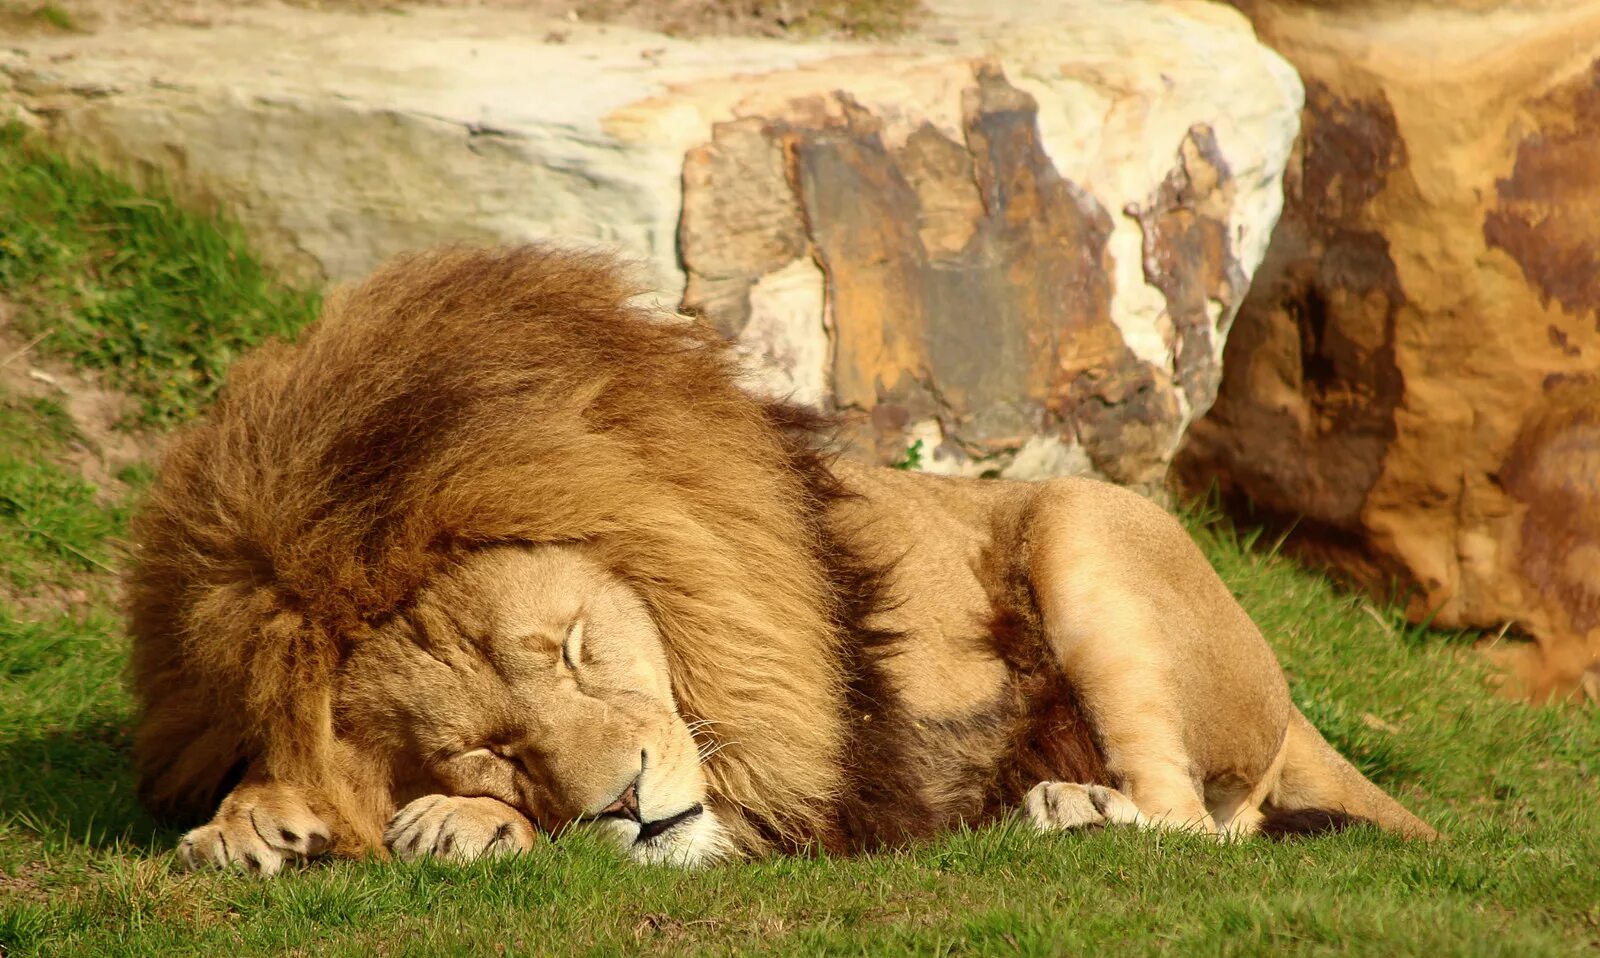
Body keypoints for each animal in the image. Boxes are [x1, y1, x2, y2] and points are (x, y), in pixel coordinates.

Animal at [125, 246, 1434, 875]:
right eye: (490, 744)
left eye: (577, 650)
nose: (628, 802)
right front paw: (264, 819)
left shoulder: (803, 764)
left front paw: (457, 828)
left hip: (1082, 537)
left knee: (1197, 822)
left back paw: (1074, 808)